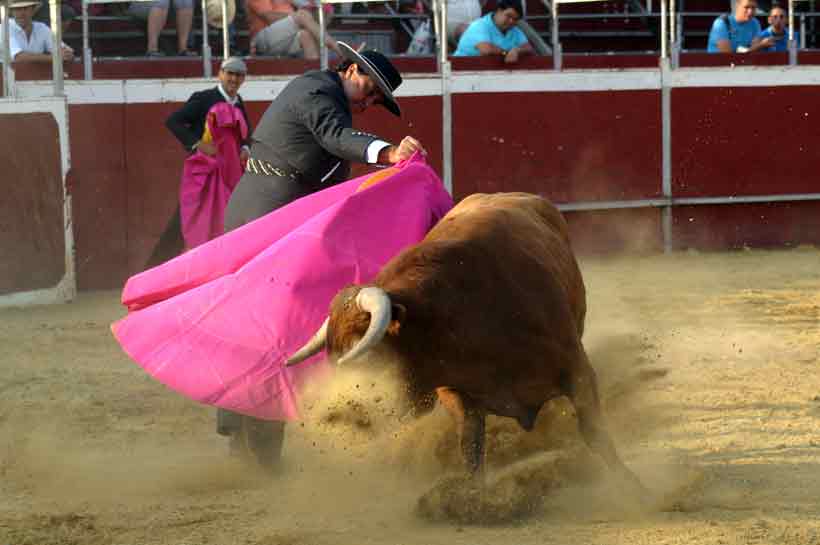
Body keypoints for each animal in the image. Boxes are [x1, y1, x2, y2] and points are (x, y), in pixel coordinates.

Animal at [288, 192, 648, 492]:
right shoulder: (455, 391)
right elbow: (471, 447)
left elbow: (594, 431)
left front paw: (633, 487)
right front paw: (474, 499)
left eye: (365, 356)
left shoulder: (577, 367)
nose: (342, 414)